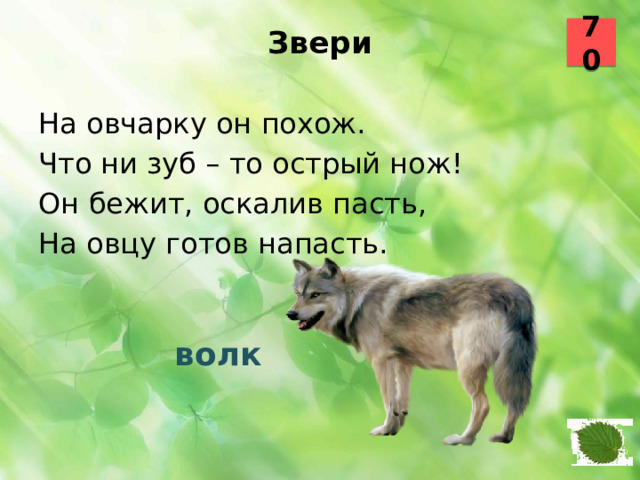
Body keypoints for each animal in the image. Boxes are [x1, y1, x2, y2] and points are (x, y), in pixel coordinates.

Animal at [287, 258, 536, 445]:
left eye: (315, 294)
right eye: (298, 293)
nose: (290, 314)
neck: (356, 300)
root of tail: (515, 292)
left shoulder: (381, 362)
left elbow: (388, 401)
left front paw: (385, 429)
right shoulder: (403, 363)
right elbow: (401, 402)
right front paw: (397, 428)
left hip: (468, 368)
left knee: (483, 405)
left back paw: (463, 439)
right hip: (511, 368)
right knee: (516, 403)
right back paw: (504, 436)